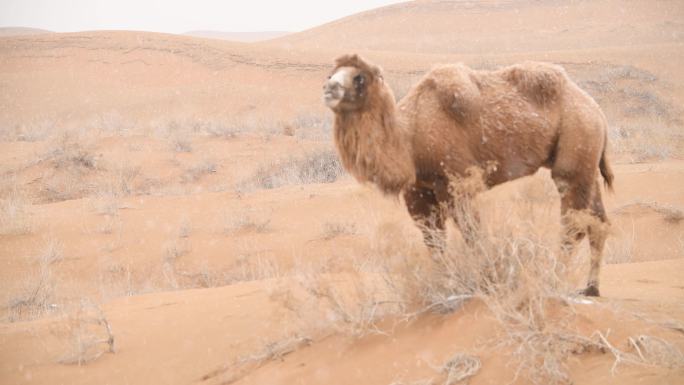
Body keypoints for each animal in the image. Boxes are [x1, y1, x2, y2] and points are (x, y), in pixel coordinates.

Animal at [322, 54, 616, 296]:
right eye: (330, 74)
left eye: (359, 77)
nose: (328, 89)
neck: (409, 138)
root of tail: (598, 111)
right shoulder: (418, 192)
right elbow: (435, 243)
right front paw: (446, 287)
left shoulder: (457, 180)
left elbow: (472, 235)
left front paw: (485, 282)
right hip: (586, 161)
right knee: (598, 222)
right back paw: (591, 289)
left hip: (576, 145)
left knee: (573, 224)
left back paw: (551, 281)